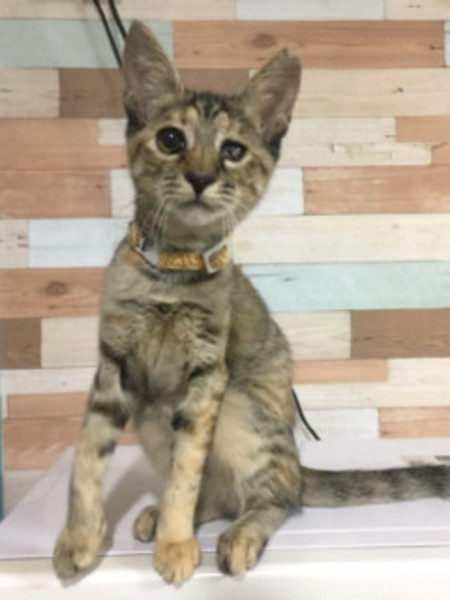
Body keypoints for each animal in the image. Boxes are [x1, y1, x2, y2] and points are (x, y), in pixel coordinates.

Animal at [53, 20, 450, 585]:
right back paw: (166, 517)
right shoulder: (113, 365)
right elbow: (87, 457)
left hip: (240, 408)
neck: (170, 274)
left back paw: (237, 533)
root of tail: (298, 464)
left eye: (234, 151)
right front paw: (79, 540)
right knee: (217, 493)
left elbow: (185, 471)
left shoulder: (207, 375)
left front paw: (176, 545)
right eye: (171, 139)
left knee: (274, 497)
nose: (200, 177)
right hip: (156, 415)